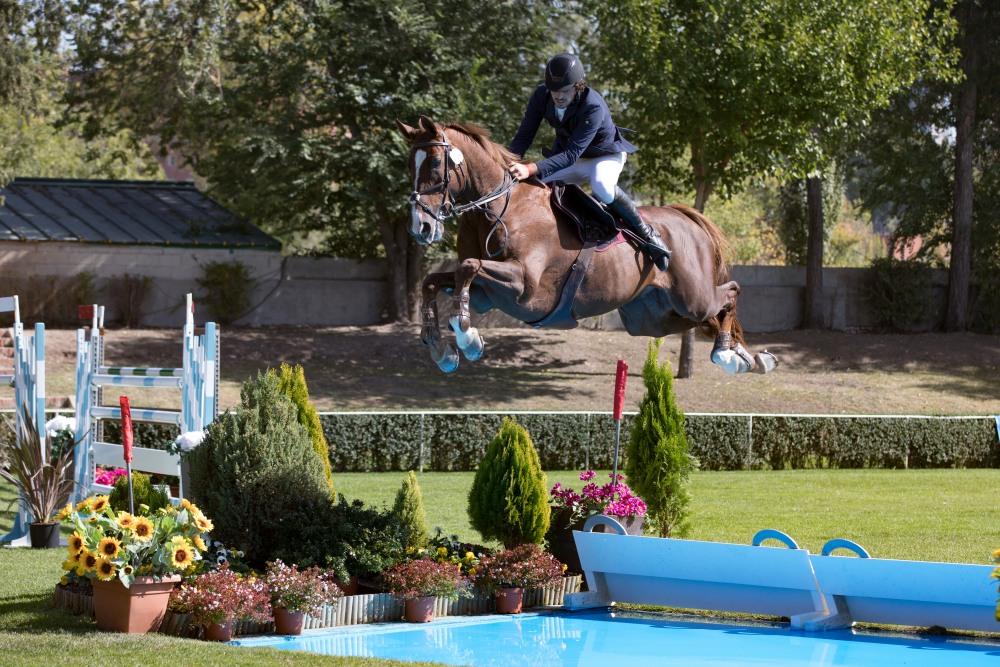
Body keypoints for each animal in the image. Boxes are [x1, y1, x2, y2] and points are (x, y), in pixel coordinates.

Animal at [394, 115, 776, 376]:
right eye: (409, 165)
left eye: (435, 163)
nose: (420, 227)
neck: (500, 206)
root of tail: (688, 217)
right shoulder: (488, 294)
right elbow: (436, 281)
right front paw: (441, 350)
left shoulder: (524, 287)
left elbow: (467, 268)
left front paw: (467, 337)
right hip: (652, 318)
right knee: (709, 315)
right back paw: (745, 357)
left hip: (691, 298)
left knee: (730, 291)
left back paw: (732, 354)